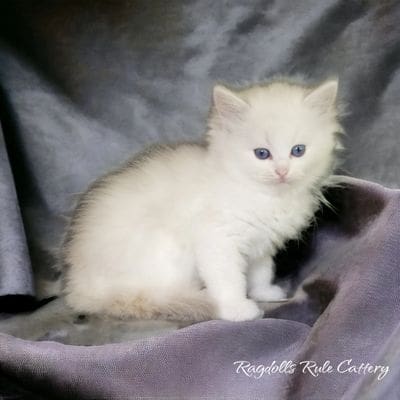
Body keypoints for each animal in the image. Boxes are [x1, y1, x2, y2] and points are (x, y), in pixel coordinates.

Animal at [61, 78, 342, 322]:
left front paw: (264, 294)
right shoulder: (217, 241)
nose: (282, 172)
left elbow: (261, 272)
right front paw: (237, 309)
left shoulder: (260, 245)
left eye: (298, 150)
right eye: (262, 154)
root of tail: (80, 288)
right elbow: (229, 280)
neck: (262, 195)